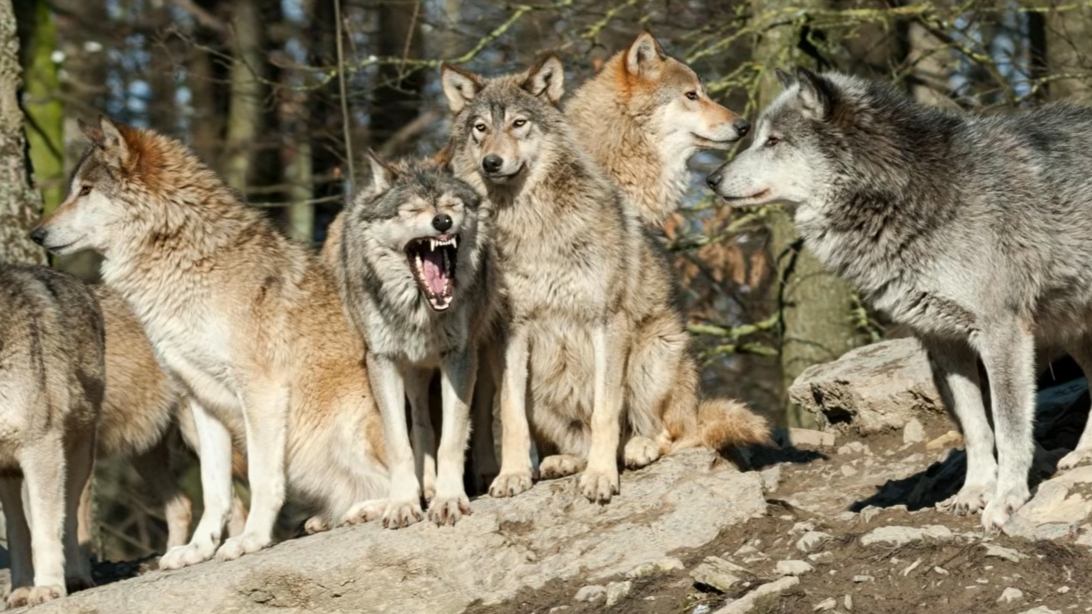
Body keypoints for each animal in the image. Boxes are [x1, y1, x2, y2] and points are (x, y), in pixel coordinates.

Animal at [0, 263, 105, 608]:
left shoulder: (40, 447)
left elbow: (46, 531)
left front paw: (47, 588)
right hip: (9, 474)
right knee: (18, 530)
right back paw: (20, 590)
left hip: (75, 457)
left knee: (68, 519)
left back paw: (73, 577)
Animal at [32, 116, 390, 568]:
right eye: (74, 189)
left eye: (85, 191)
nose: (36, 233)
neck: (183, 261)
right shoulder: (201, 400)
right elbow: (214, 489)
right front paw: (198, 549)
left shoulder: (261, 391)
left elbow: (261, 477)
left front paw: (251, 540)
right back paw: (329, 517)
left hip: (353, 425)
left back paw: (375, 508)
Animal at [334, 153, 494, 527]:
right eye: (412, 210)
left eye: (452, 204)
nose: (442, 220)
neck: (423, 311)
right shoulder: (383, 361)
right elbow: (400, 444)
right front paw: (404, 503)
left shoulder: (459, 357)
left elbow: (452, 438)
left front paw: (449, 499)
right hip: (414, 373)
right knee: (420, 425)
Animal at [441, 57, 769, 503]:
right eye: (480, 128)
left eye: (519, 123)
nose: (491, 162)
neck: (530, 222)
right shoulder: (510, 332)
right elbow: (510, 416)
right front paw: (513, 475)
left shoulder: (607, 321)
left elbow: (604, 410)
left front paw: (600, 476)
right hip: (542, 389)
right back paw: (561, 461)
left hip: (656, 351)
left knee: (674, 434)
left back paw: (636, 448)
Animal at [706, 67, 1092, 530]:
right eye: (758, 137)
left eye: (774, 141)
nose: (710, 179)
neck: (918, 191)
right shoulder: (943, 340)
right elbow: (976, 428)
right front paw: (974, 492)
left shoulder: (1002, 333)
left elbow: (1010, 426)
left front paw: (1006, 500)